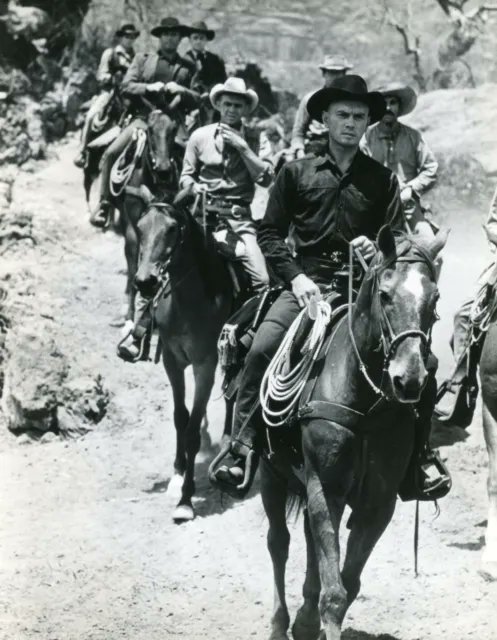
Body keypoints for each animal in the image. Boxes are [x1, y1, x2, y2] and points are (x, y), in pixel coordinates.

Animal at [134, 202, 234, 524]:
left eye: (171, 229)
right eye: (140, 227)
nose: (145, 281)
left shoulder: (205, 365)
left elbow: (192, 431)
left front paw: (186, 501)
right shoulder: (172, 360)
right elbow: (180, 417)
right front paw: (177, 475)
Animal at [256, 229, 446, 640]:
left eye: (435, 297)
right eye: (385, 294)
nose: (409, 379)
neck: (362, 396)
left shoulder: (378, 502)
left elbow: (348, 582)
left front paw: (311, 618)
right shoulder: (325, 488)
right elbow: (334, 592)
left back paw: (303, 619)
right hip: (271, 473)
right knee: (279, 542)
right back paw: (279, 623)